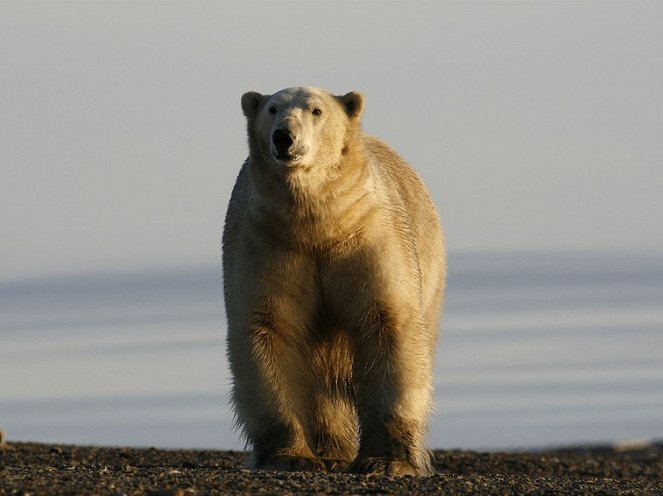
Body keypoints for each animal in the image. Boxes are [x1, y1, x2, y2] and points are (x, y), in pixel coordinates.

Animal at [223, 87, 446, 474]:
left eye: (316, 110)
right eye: (272, 108)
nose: (284, 137)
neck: (317, 223)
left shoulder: (367, 237)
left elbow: (387, 324)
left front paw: (387, 460)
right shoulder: (268, 243)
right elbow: (270, 329)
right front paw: (291, 455)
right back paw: (331, 451)